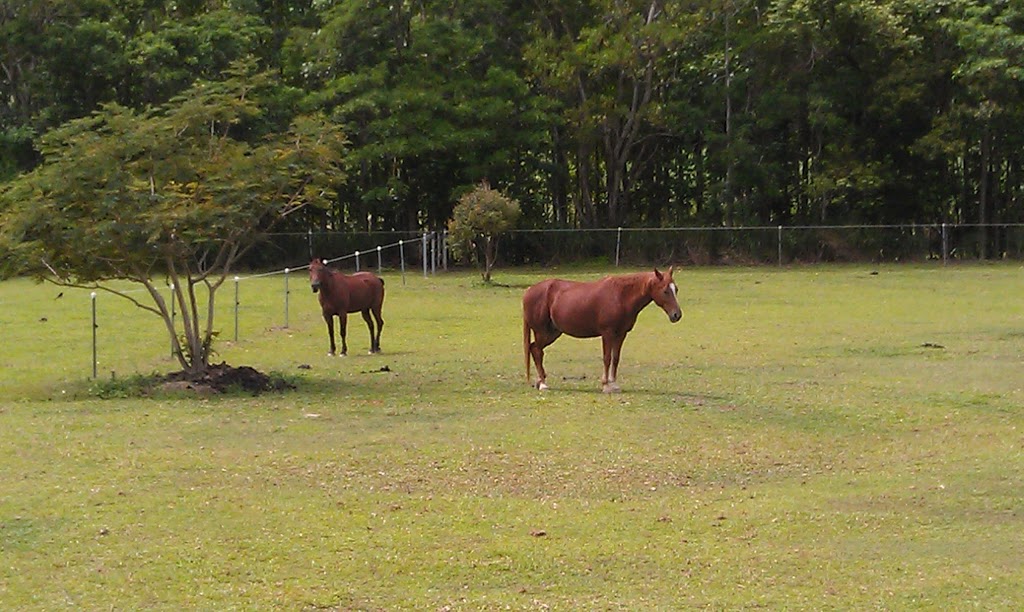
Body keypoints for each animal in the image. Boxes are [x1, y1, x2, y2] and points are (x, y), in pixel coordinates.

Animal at [524, 268, 684, 392]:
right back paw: (543, 384)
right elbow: (607, 358)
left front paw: (614, 384)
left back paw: (540, 381)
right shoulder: (607, 333)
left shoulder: (621, 334)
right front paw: (606, 385)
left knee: (534, 349)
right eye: (665, 291)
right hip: (542, 332)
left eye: (676, 289)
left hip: (552, 333)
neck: (620, 296)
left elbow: (615, 358)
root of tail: (529, 290)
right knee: (537, 351)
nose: (677, 315)